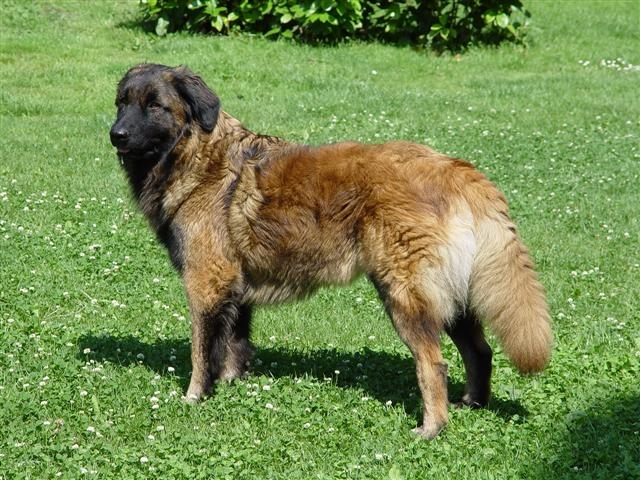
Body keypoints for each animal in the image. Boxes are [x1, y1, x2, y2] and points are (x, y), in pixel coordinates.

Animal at [110, 63, 552, 438]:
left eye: (155, 106)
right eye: (122, 102)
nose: (116, 134)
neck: (199, 157)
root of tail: (455, 169)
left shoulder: (206, 283)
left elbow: (202, 353)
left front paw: (195, 397)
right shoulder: (237, 287)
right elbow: (235, 344)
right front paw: (233, 385)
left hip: (404, 295)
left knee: (434, 363)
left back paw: (432, 427)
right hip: (451, 296)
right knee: (480, 351)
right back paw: (472, 404)